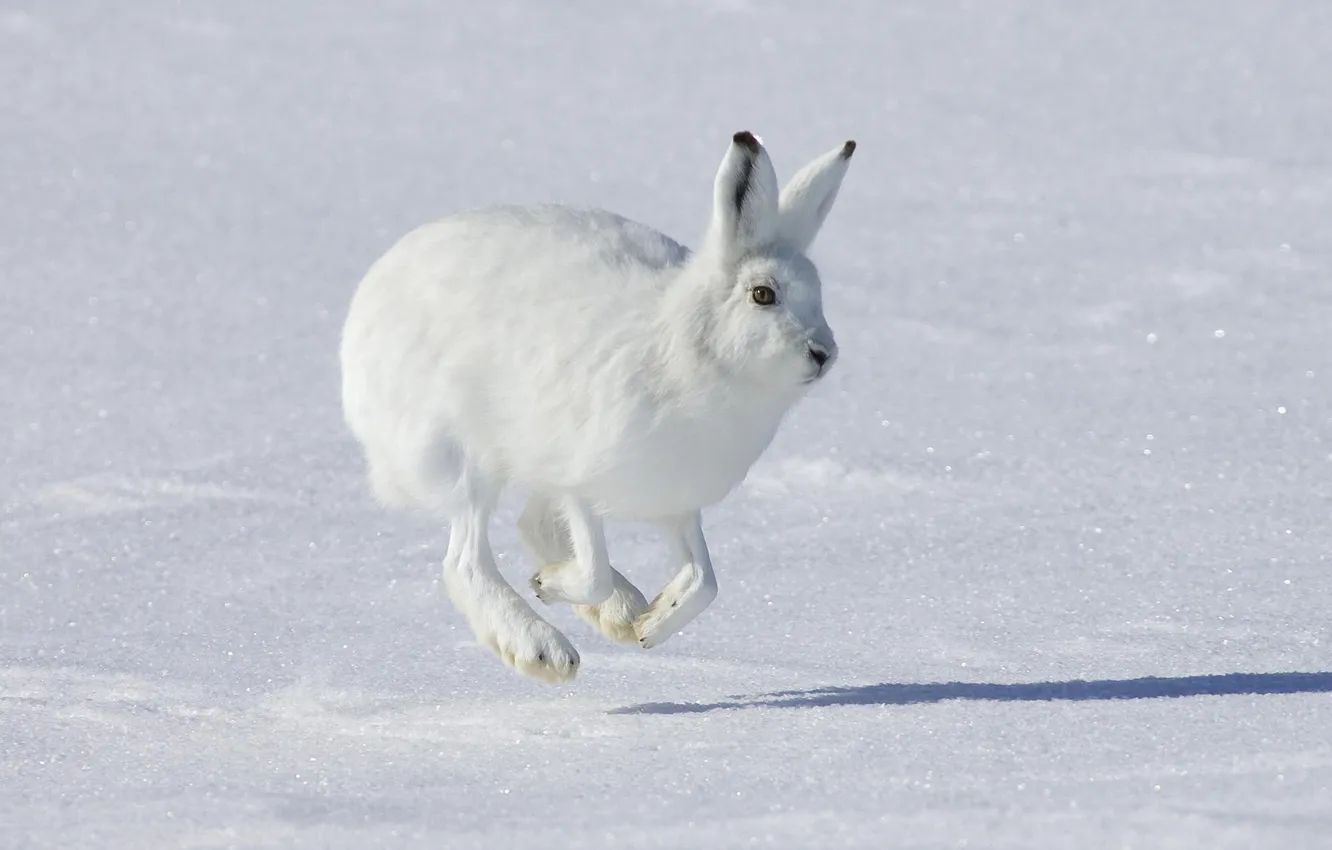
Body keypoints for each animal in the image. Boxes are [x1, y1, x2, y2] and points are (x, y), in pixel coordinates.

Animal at [339, 130, 855, 683]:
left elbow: (705, 579)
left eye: (817, 294)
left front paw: (651, 624)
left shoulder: (677, 500)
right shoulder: (579, 479)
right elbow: (593, 571)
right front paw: (550, 588)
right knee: (466, 560)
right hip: (468, 454)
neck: (690, 350)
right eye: (762, 295)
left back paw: (623, 613)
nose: (823, 353)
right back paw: (541, 648)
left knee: (531, 527)